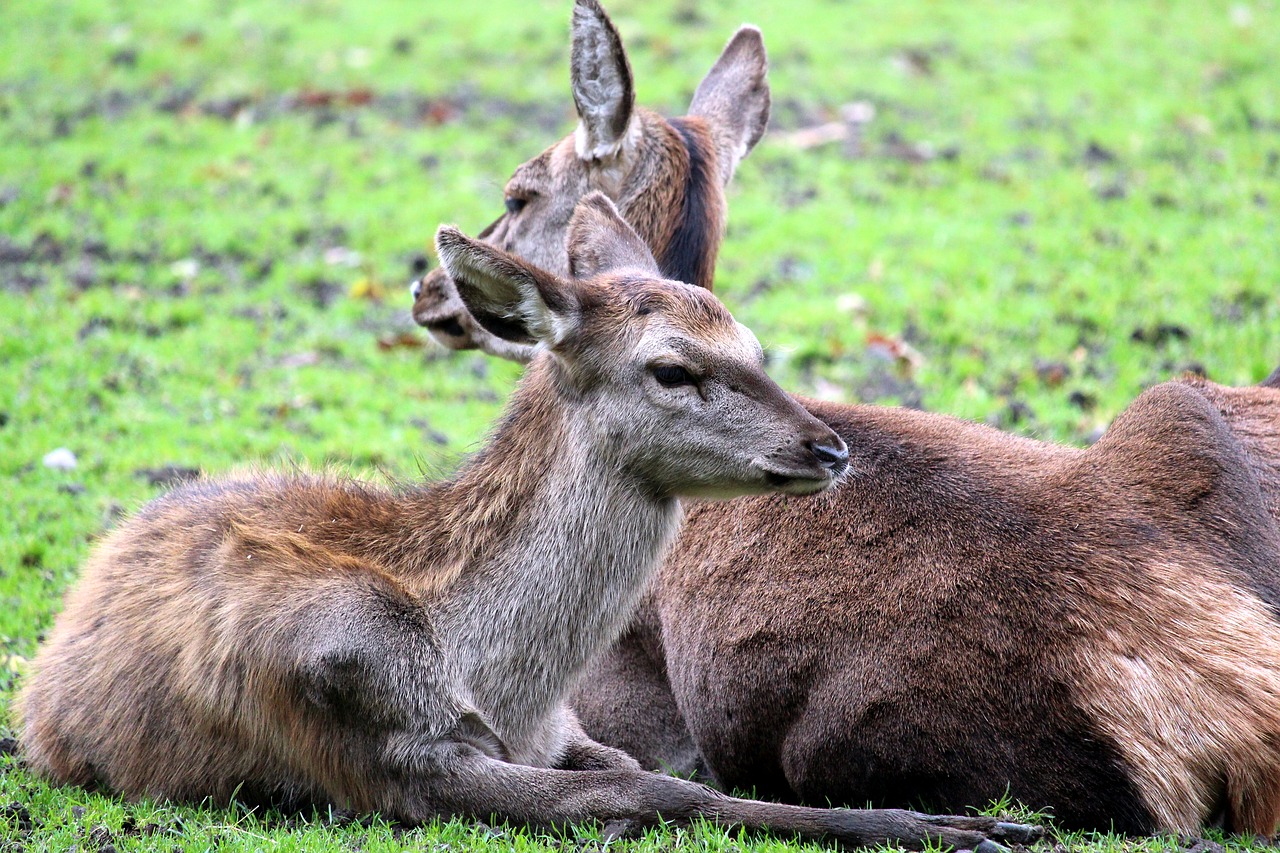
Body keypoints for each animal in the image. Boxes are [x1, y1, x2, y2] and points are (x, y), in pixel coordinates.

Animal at [15, 194, 1044, 850]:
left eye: (756, 346)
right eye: (673, 367)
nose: (829, 448)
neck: (494, 672)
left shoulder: (557, 725)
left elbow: (648, 764)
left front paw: (978, 820)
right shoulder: (387, 746)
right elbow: (644, 782)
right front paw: (956, 826)